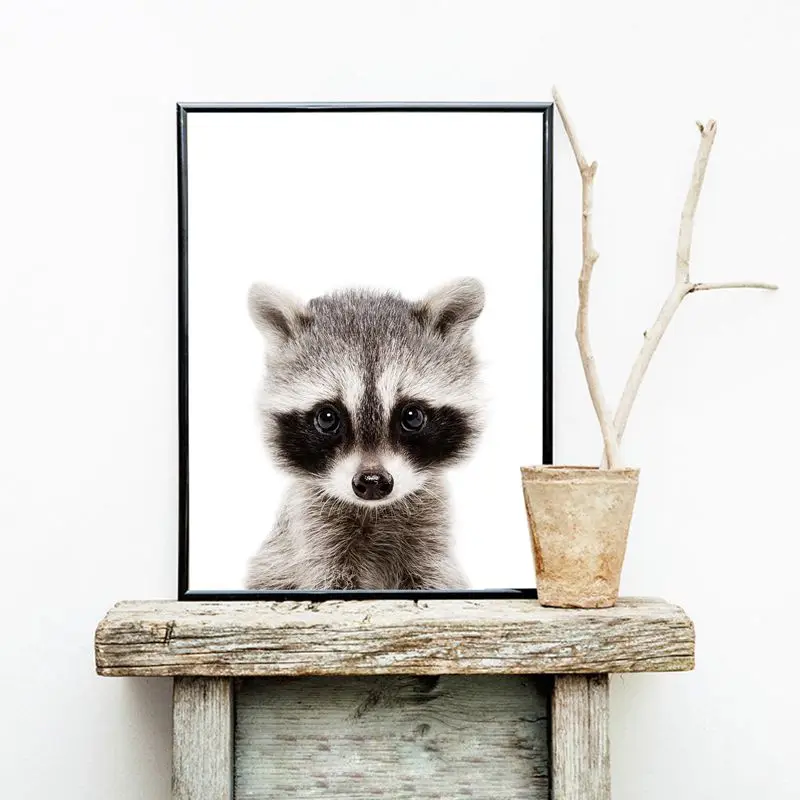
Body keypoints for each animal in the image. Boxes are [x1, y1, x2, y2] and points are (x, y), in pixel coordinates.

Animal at [243, 277, 486, 591]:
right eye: (327, 418)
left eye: (412, 416)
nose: (372, 482)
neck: (374, 510)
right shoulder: (312, 533)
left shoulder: (429, 537)